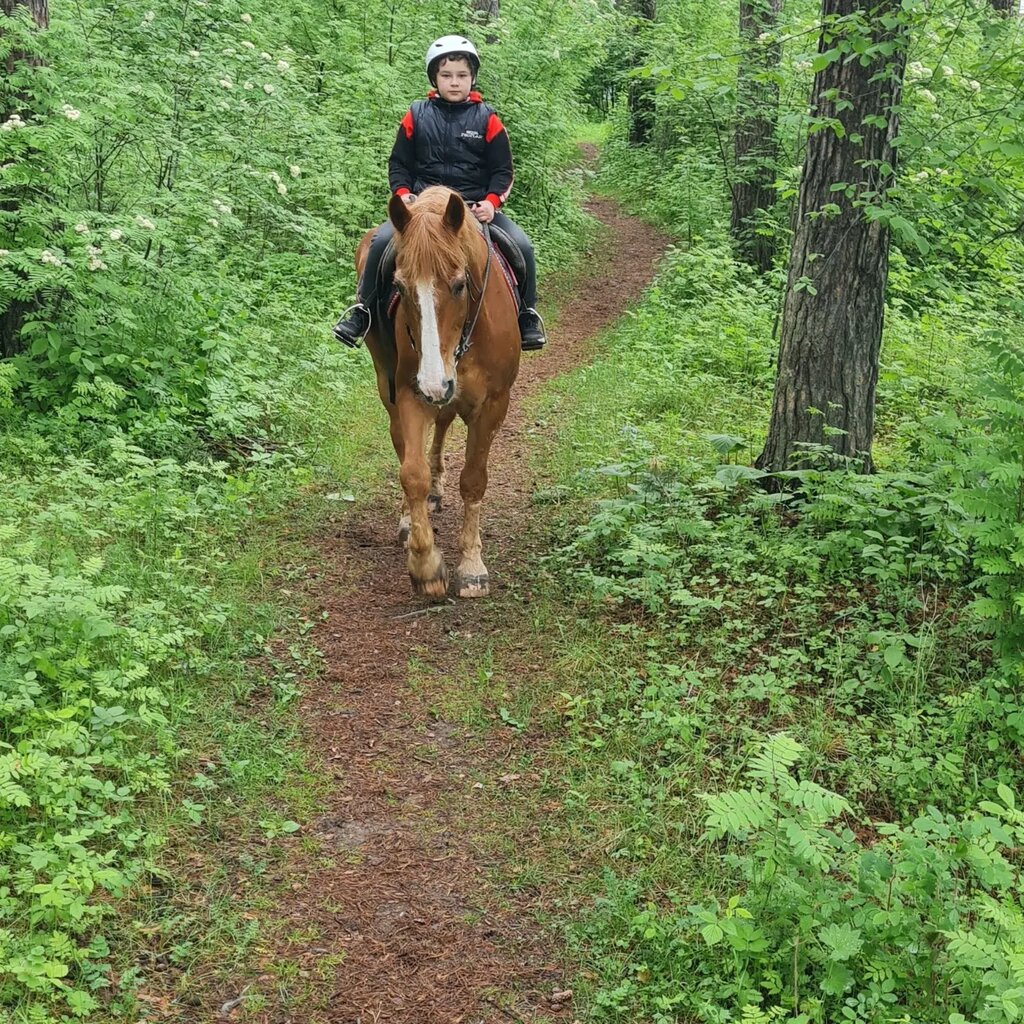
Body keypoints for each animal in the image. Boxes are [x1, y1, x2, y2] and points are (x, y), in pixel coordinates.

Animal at [355, 186, 521, 600]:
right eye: (399, 287)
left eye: (460, 284)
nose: (434, 382)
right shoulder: (411, 394)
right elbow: (411, 472)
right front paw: (426, 565)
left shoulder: (493, 405)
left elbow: (474, 479)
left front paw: (472, 566)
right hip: (389, 384)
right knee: (403, 440)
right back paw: (411, 515)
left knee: (444, 419)